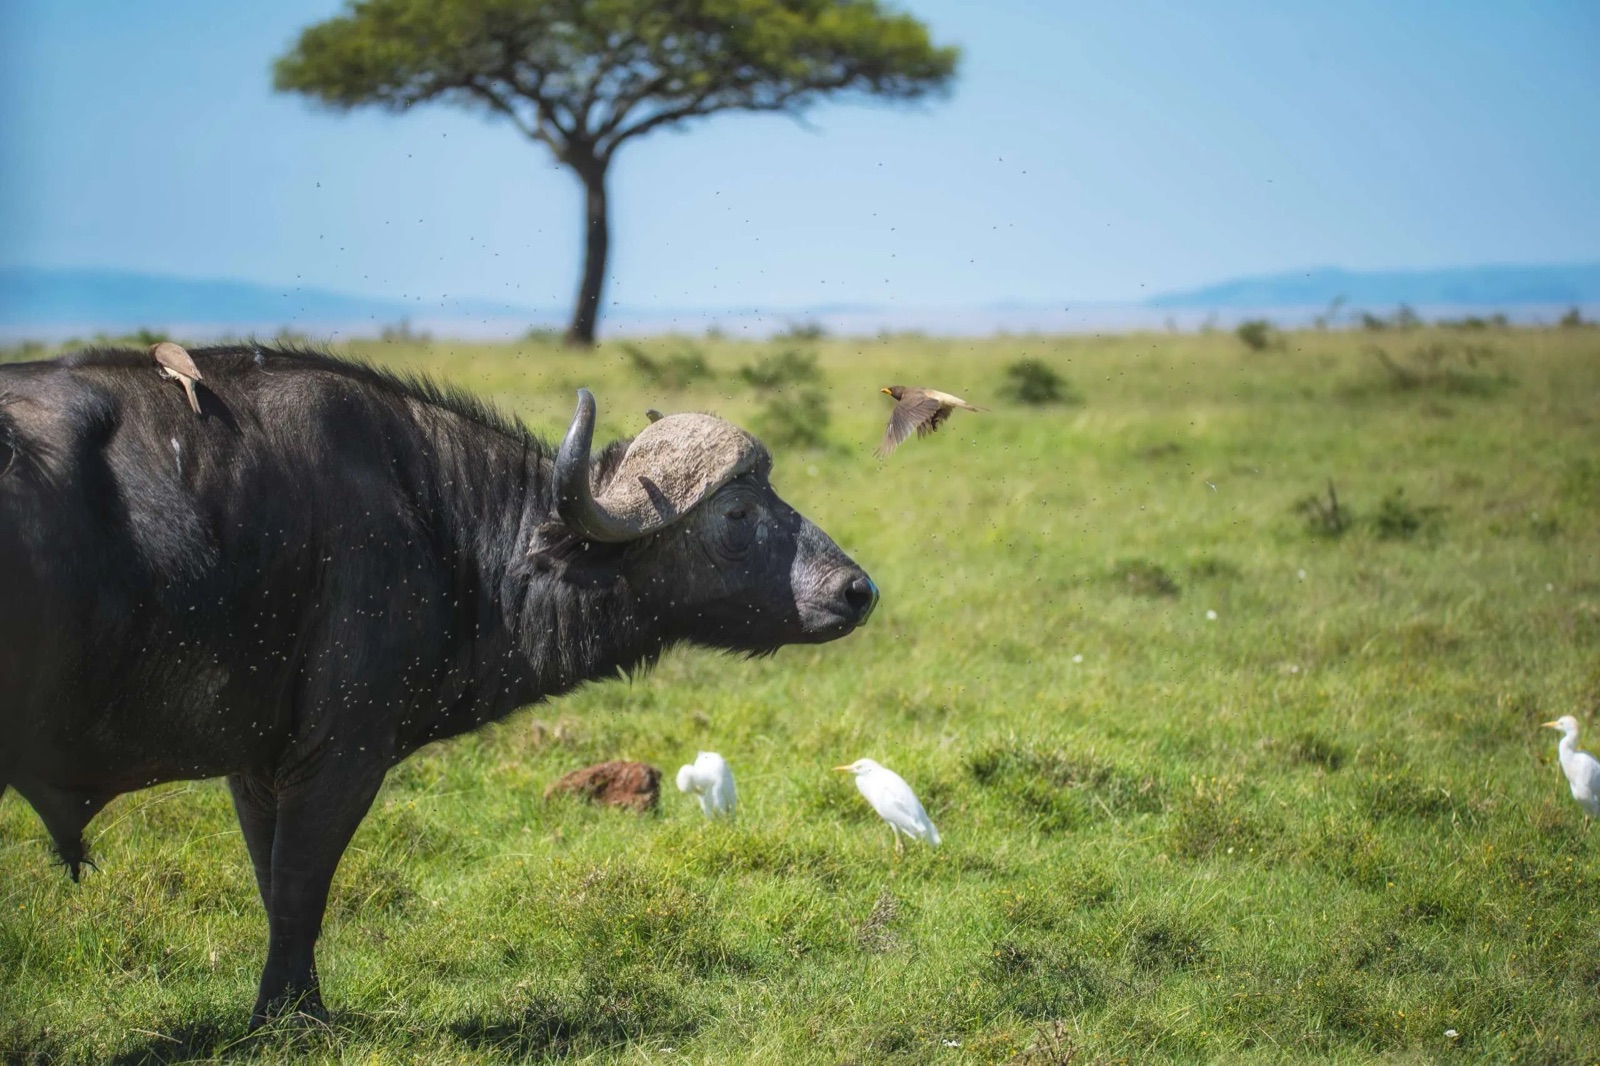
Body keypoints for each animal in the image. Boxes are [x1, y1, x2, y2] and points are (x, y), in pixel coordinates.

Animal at [0, 345, 876, 1026]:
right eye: (736, 513)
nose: (856, 590)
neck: (432, 514)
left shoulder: (255, 764)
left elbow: (272, 880)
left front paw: (290, 1007)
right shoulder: (340, 756)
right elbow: (301, 887)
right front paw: (293, 1019)